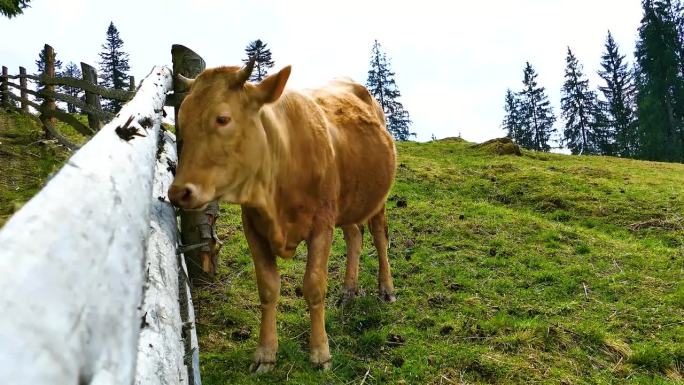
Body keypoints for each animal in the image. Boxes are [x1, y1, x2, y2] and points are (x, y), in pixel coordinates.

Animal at [168, 60, 398, 372]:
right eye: (182, 120)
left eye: (223, 119)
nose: (179, 192)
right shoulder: (253, 228)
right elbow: (267, 288)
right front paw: (265, 353)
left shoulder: (322, 225)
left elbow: (314, 286)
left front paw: (320, 353)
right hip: (349, 201)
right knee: (354, 237)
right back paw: (348, 291)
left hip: (377, 199)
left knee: (378, 237)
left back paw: (386, 289)